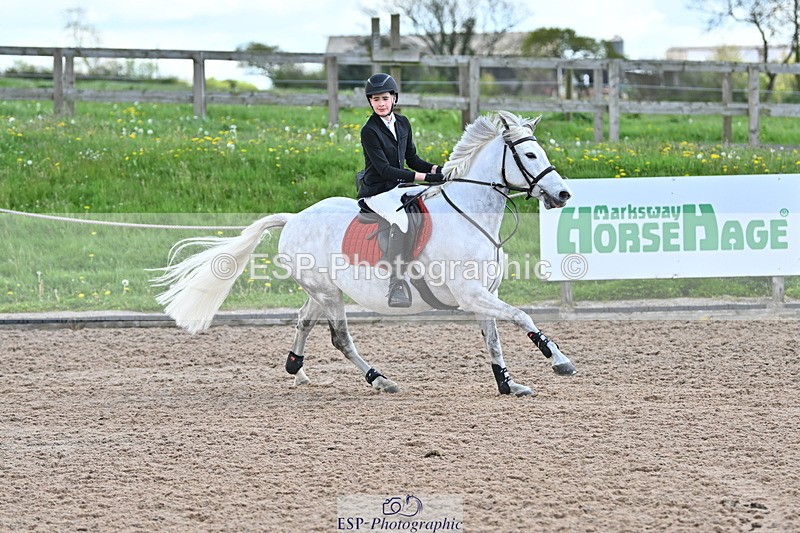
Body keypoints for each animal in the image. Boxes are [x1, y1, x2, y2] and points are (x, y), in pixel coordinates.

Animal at [151, 110, 577, 397]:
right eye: (531, 156)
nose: (562, 194)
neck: (470, 215)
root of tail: (293, 218)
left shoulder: (483, 293)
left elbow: (494, 337)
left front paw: (508, 384)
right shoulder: (470, 293)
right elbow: (521, 317)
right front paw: (559, 361)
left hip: (321, 290)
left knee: (304, 321)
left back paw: (297, 370)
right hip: (328, 292)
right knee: (340, 338)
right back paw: (380, 379)